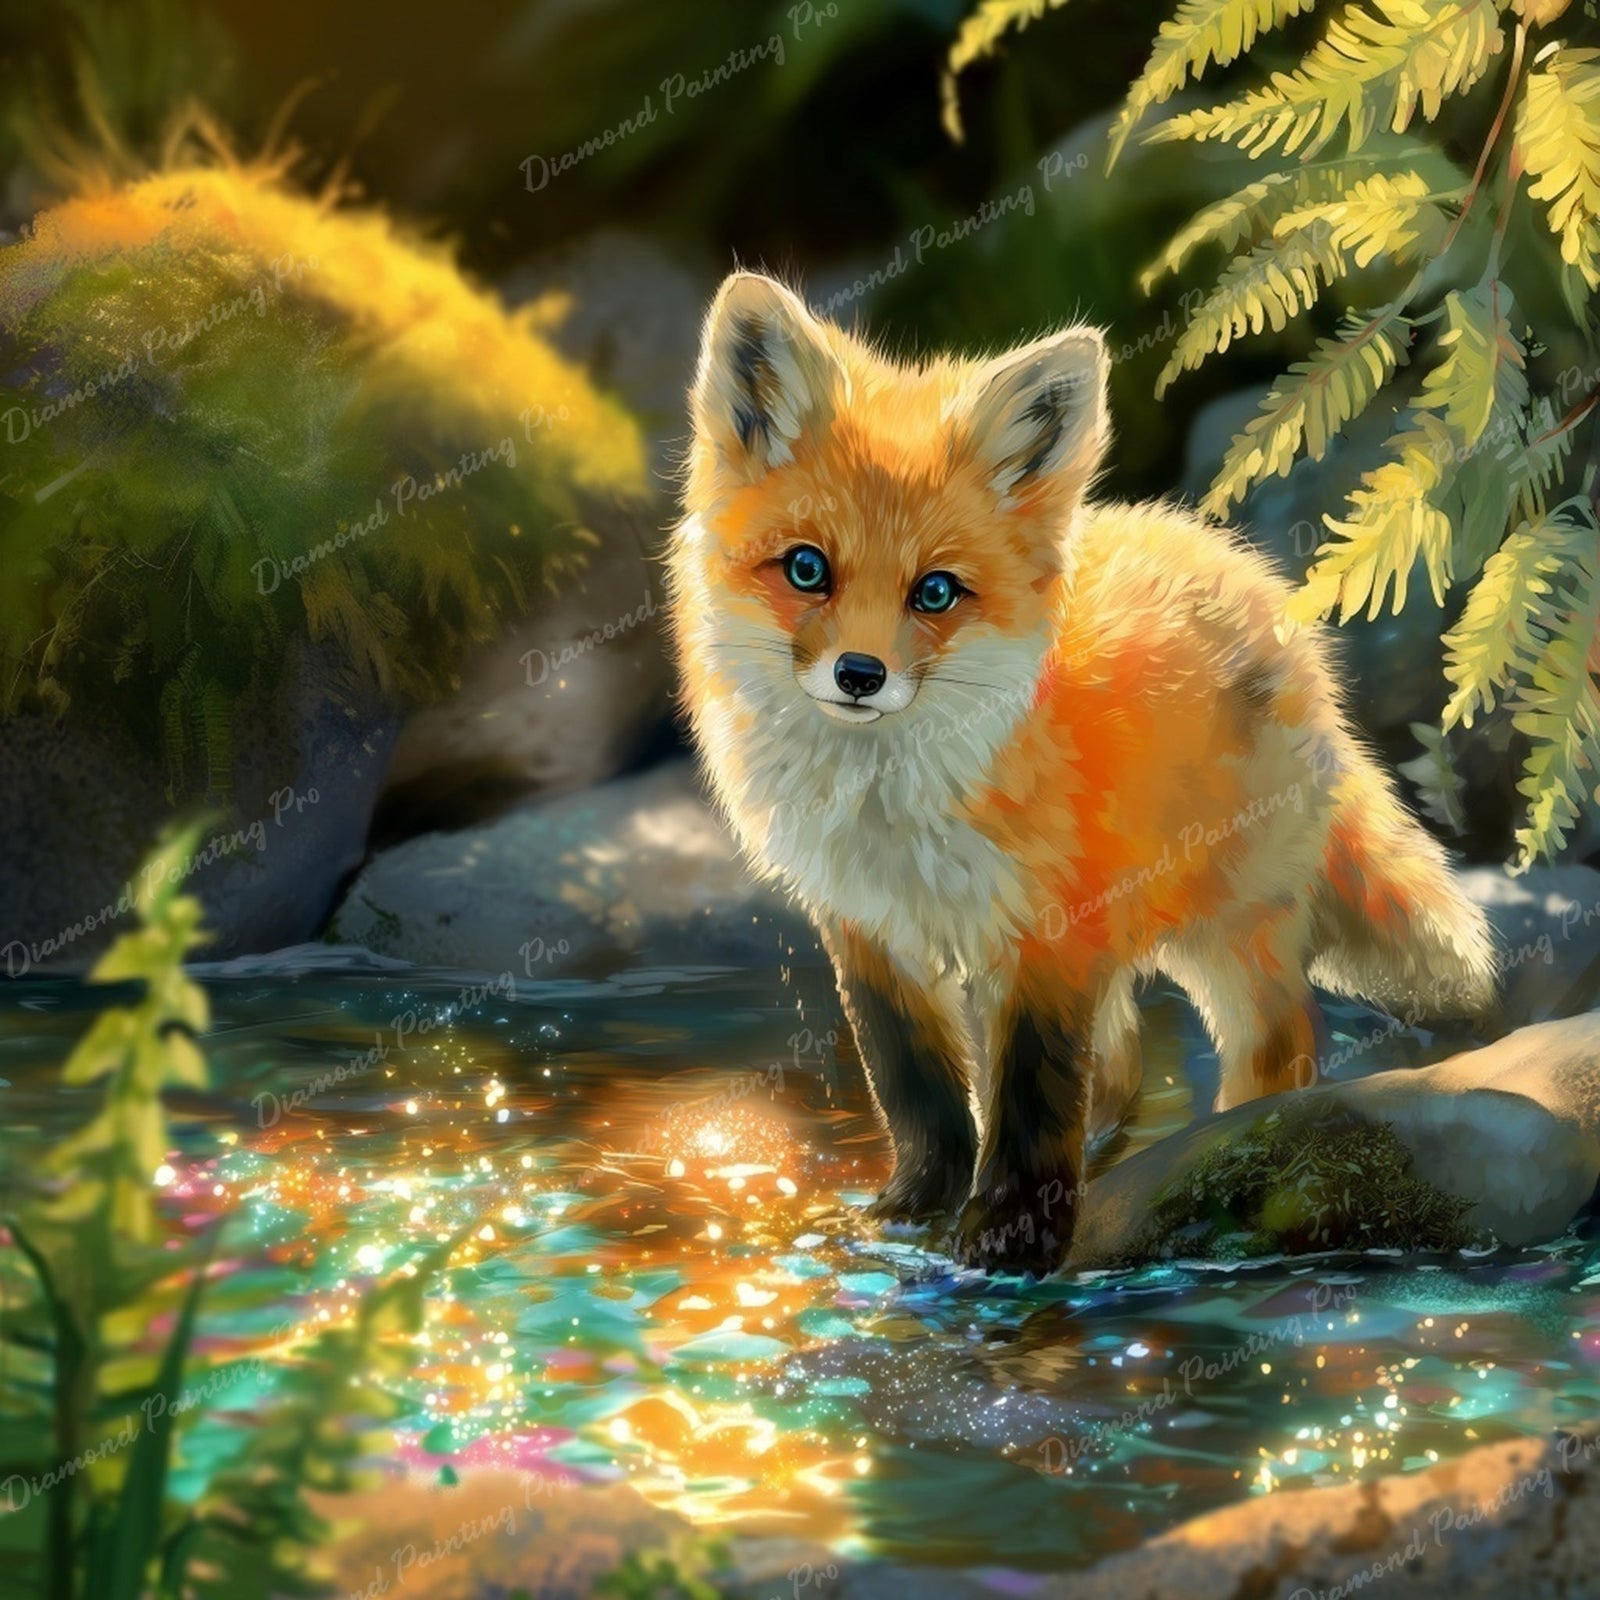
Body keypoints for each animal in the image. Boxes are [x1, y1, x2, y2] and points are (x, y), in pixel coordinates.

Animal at [667, 271, 1498, 1276]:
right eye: (805, 570)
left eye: (935, 592)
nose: (859, 676)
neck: (892, 805)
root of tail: (1269, 598)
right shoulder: (872, 934)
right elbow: (921, 1091)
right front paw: (914, 1214)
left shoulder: (1046, 940)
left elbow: (1028, 1101)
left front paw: (1007, 1245)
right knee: (1127, 1068)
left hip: (1223, 926)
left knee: (1282, 1043)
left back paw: (1231, 1151)